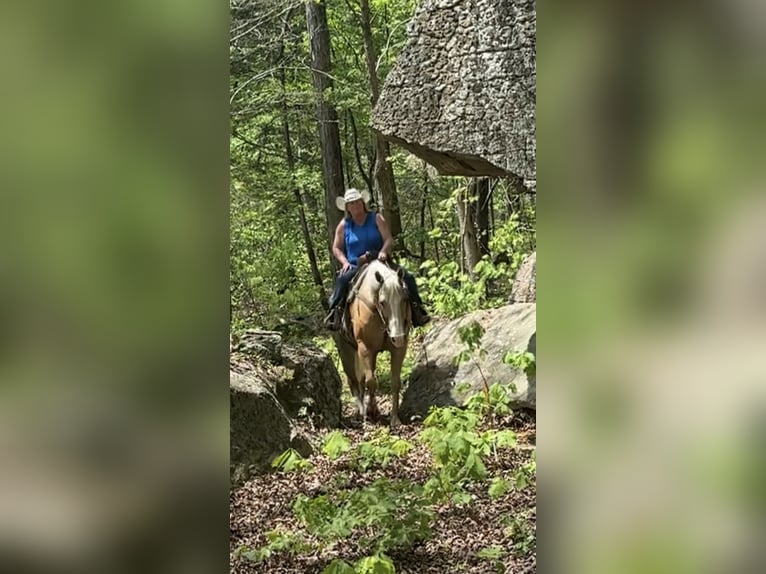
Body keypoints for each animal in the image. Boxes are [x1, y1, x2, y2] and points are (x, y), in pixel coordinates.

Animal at [332, 259, 412, 428]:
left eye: (404, 299)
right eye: (382, 302)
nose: (397, 337)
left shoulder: (399, 349)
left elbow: (395, 382)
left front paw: (394, 419)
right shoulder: (365, 349)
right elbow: (371, 382)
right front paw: (372, 411)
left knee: (361, 380)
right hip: (347, 351)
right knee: (354, 380)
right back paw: (361, 411)